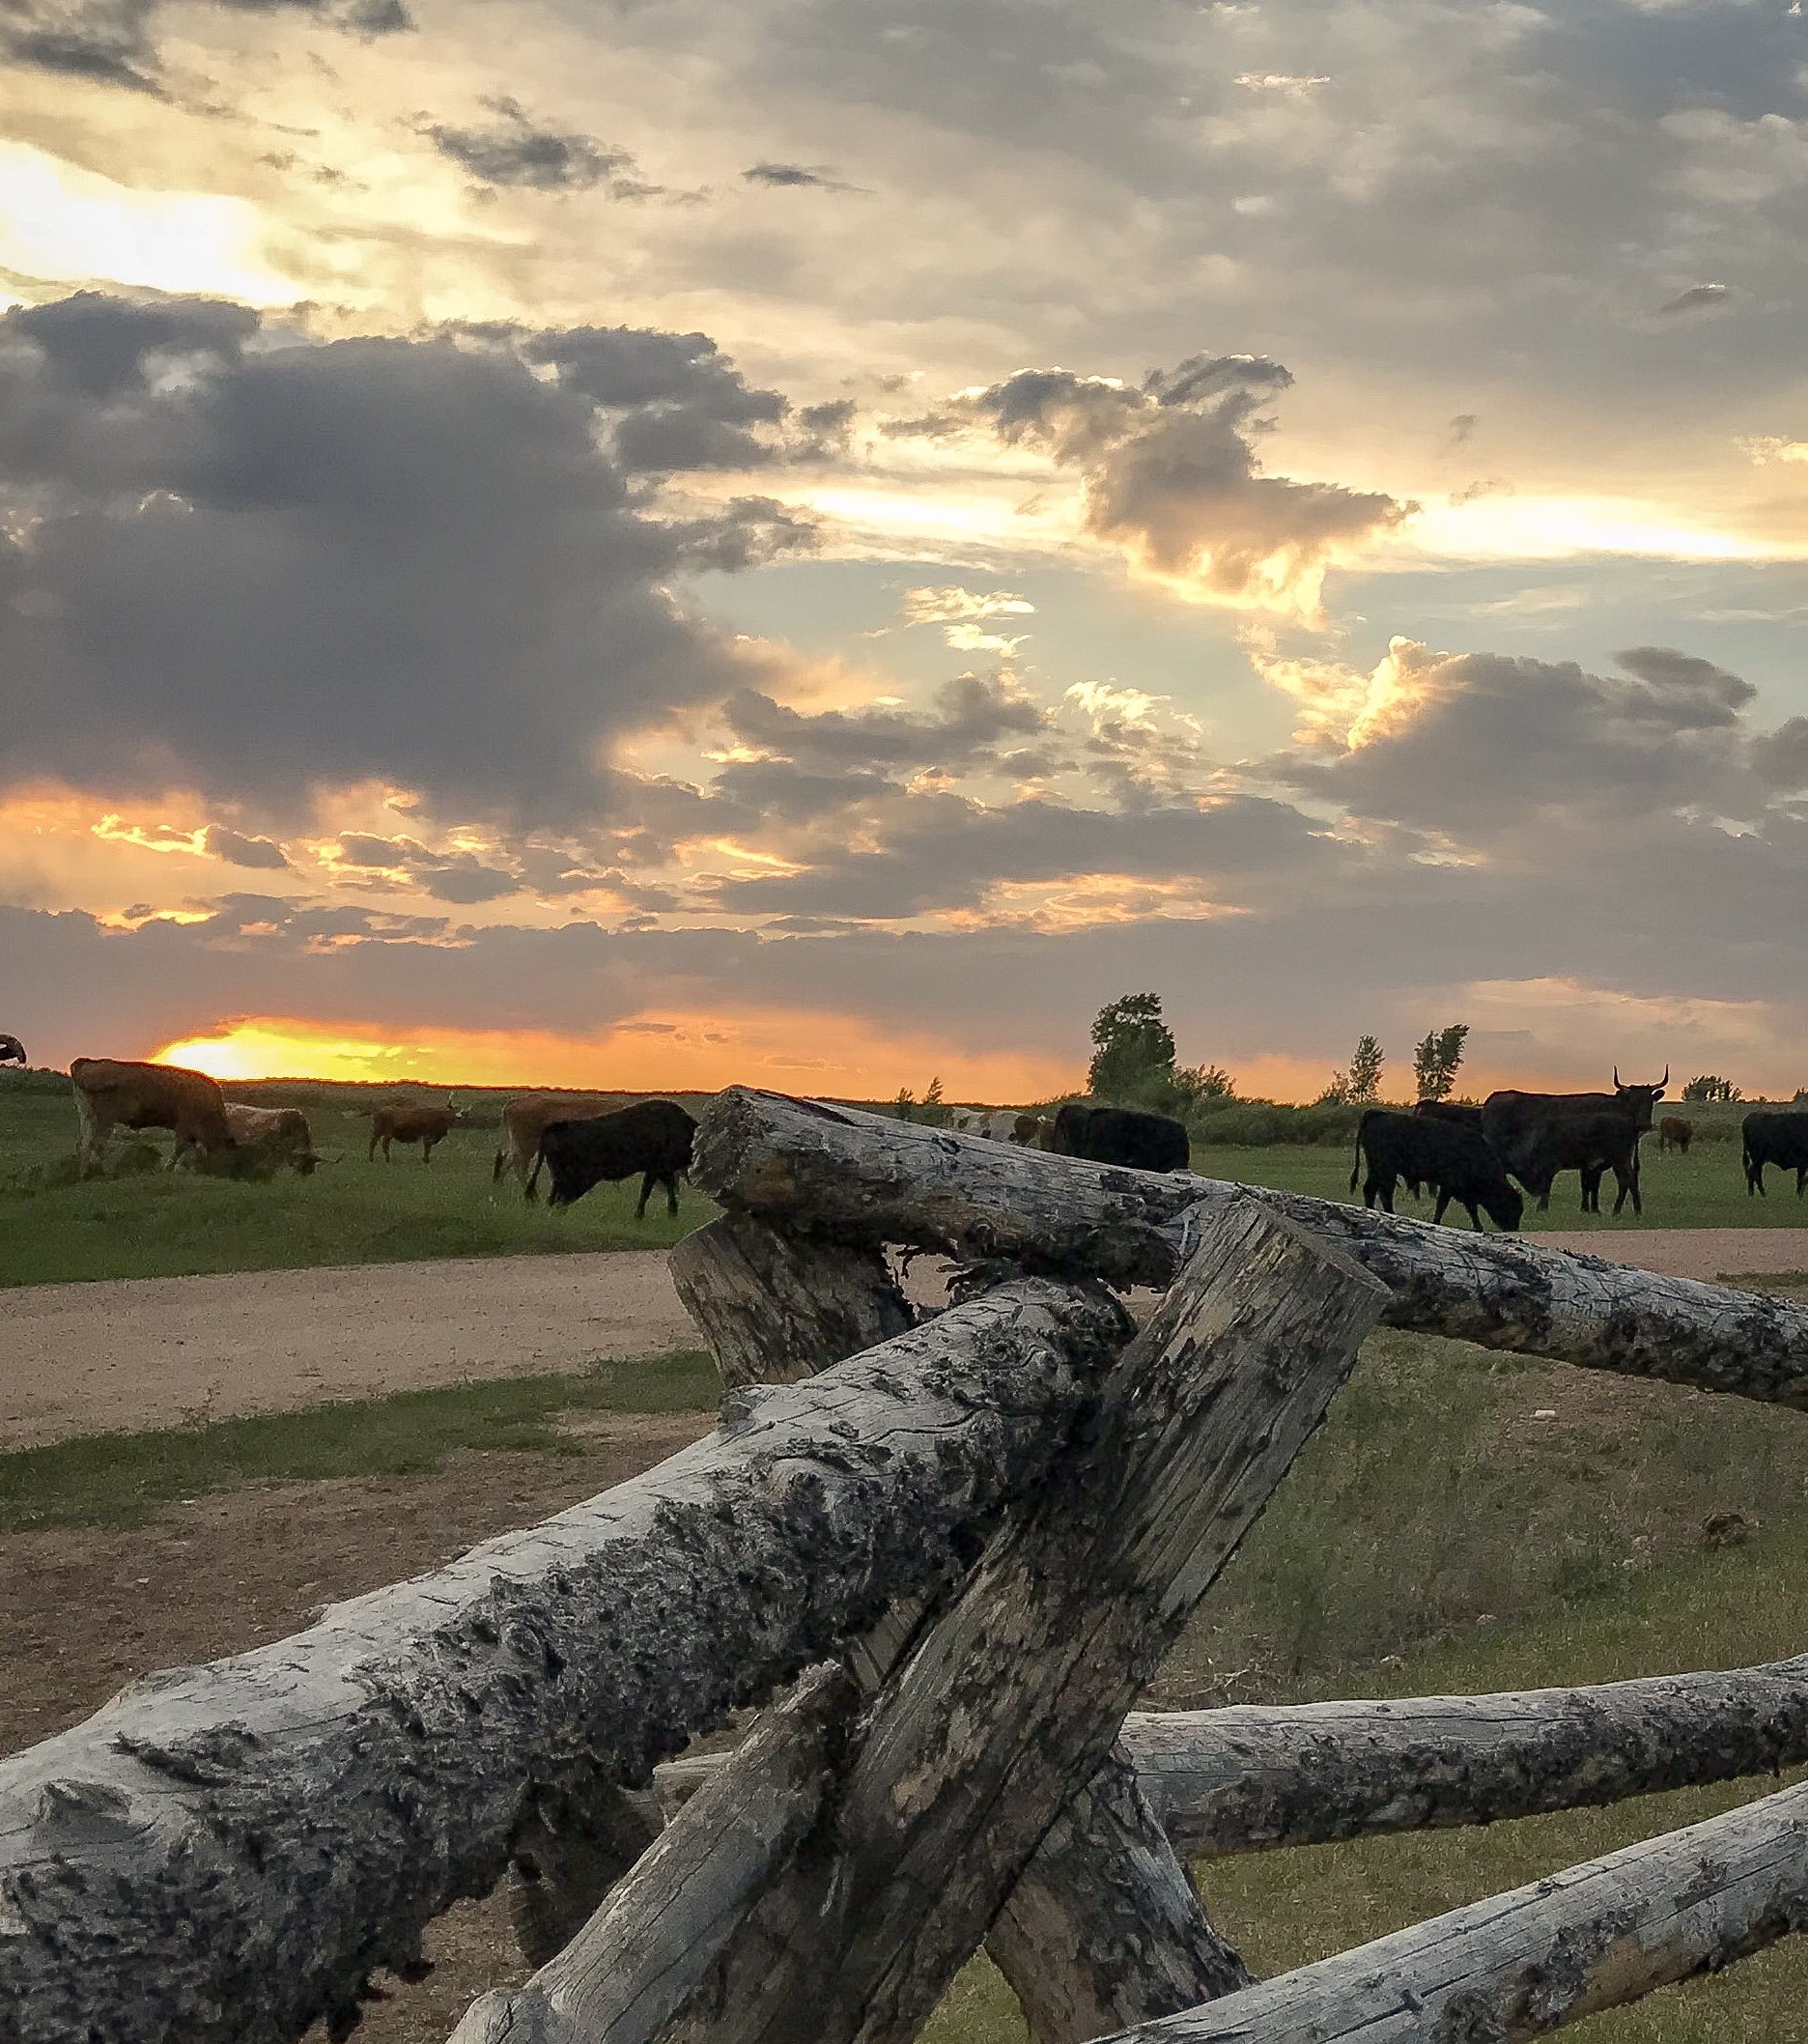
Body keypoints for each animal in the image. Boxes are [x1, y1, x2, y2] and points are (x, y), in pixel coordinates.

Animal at [526, 1103, 698, 1209]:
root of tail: (552, 1129)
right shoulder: (656, 1169)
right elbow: (647, 1192)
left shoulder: (662, 1171)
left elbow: (666, 1189)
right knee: (558, 1197)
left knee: (554, 1197)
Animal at [1348, 1120, 1519, 1226]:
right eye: (1507, 1204)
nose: (1513, 1227)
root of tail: (1376, 1114)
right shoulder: (1449, 1187)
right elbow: (1443, 1206)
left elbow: (1469, 1210)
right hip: (1384, 1171)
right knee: (1382, 1193)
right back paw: (1389, 1213)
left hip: (1377, 1171)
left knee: (1373, 1190)